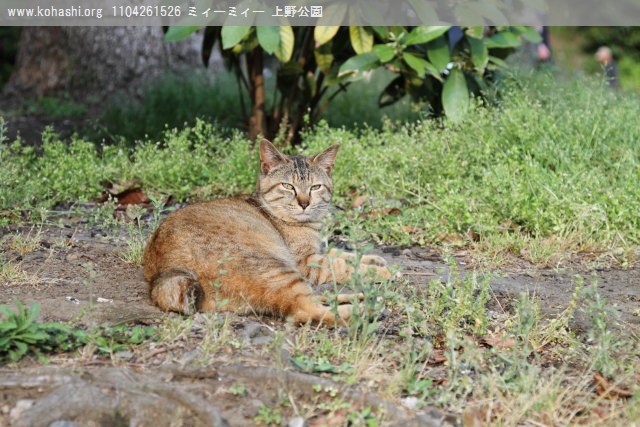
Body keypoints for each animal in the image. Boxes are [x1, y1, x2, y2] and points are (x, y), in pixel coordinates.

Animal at [143, 139, 392, 326]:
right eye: (288, 186)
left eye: (316, 187)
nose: (304, 203)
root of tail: (165, 272)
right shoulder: (307, 262)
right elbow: (342, 264)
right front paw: (383, 271)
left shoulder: (314, 254)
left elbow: (342, 255)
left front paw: (375, 260)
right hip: (278, 269)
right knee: (306, 310)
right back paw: (366, 310)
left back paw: (363, 297)